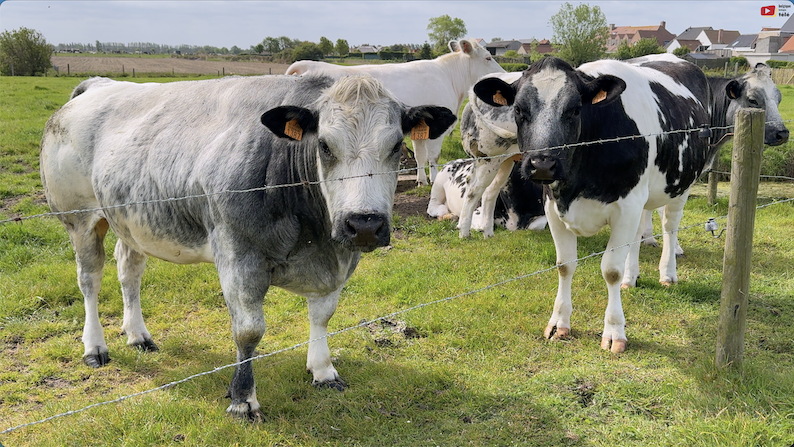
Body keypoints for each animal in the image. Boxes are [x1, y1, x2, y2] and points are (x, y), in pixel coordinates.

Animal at [39, 74, 456, 420]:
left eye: (397, 145)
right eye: (324, 145)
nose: (364, 224)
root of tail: (99, 84)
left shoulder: (337, 257)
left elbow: (322, 316)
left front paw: (323, 370)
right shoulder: (238, 255)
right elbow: (249, 332)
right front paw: (243, 399)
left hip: (132, 220)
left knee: (129, 271)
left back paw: (138, 334)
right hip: (79, 219)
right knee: (90, 280)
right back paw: (94, 347)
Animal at [286, 39, 505, 185]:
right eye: (488, 57)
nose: (503, 74)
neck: (449, 78)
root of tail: (305, 64)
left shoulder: (421, 126)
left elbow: (420, 156)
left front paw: (421, 181)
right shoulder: (437, 130)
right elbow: (433, 157)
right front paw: (434, 180)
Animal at [473, 56, 718, 353]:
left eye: (575, 109)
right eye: (518, 109)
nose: (542, 163)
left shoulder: (626, 206)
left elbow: (610, 270)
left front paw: (614, 332)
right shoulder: (553, 206)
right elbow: (564, 265)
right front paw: (559, 323)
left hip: (681, 184)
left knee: (670, 226)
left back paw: (668, 274)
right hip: (642, 196)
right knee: (639, 233)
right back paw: (630, 278)